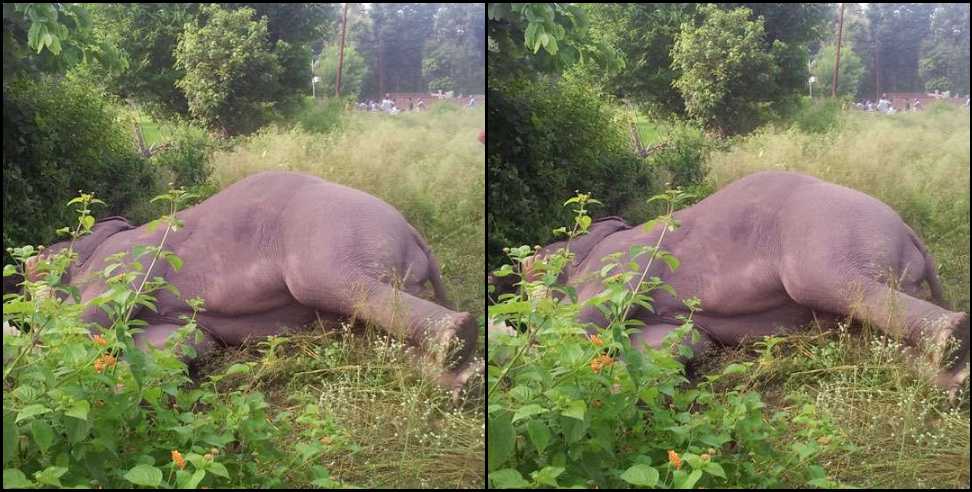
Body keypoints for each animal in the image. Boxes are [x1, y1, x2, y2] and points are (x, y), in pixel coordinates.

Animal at [22, 171, 478, 394]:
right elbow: (178, 343)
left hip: (328, 236)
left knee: (338, 285)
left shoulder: (128, 259)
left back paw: (459, 339)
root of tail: (412, 232)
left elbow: (88, 317)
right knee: (371, 335)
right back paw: (463, 382)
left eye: (41, 258)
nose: (27, 267)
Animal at [490, 171, 968, 390]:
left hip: (828, 238)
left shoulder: (620, 264)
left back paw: (952, 348)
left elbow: (575, 326)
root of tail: (907, 230)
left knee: (837, 285)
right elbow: (682, 341)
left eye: (530, 265)